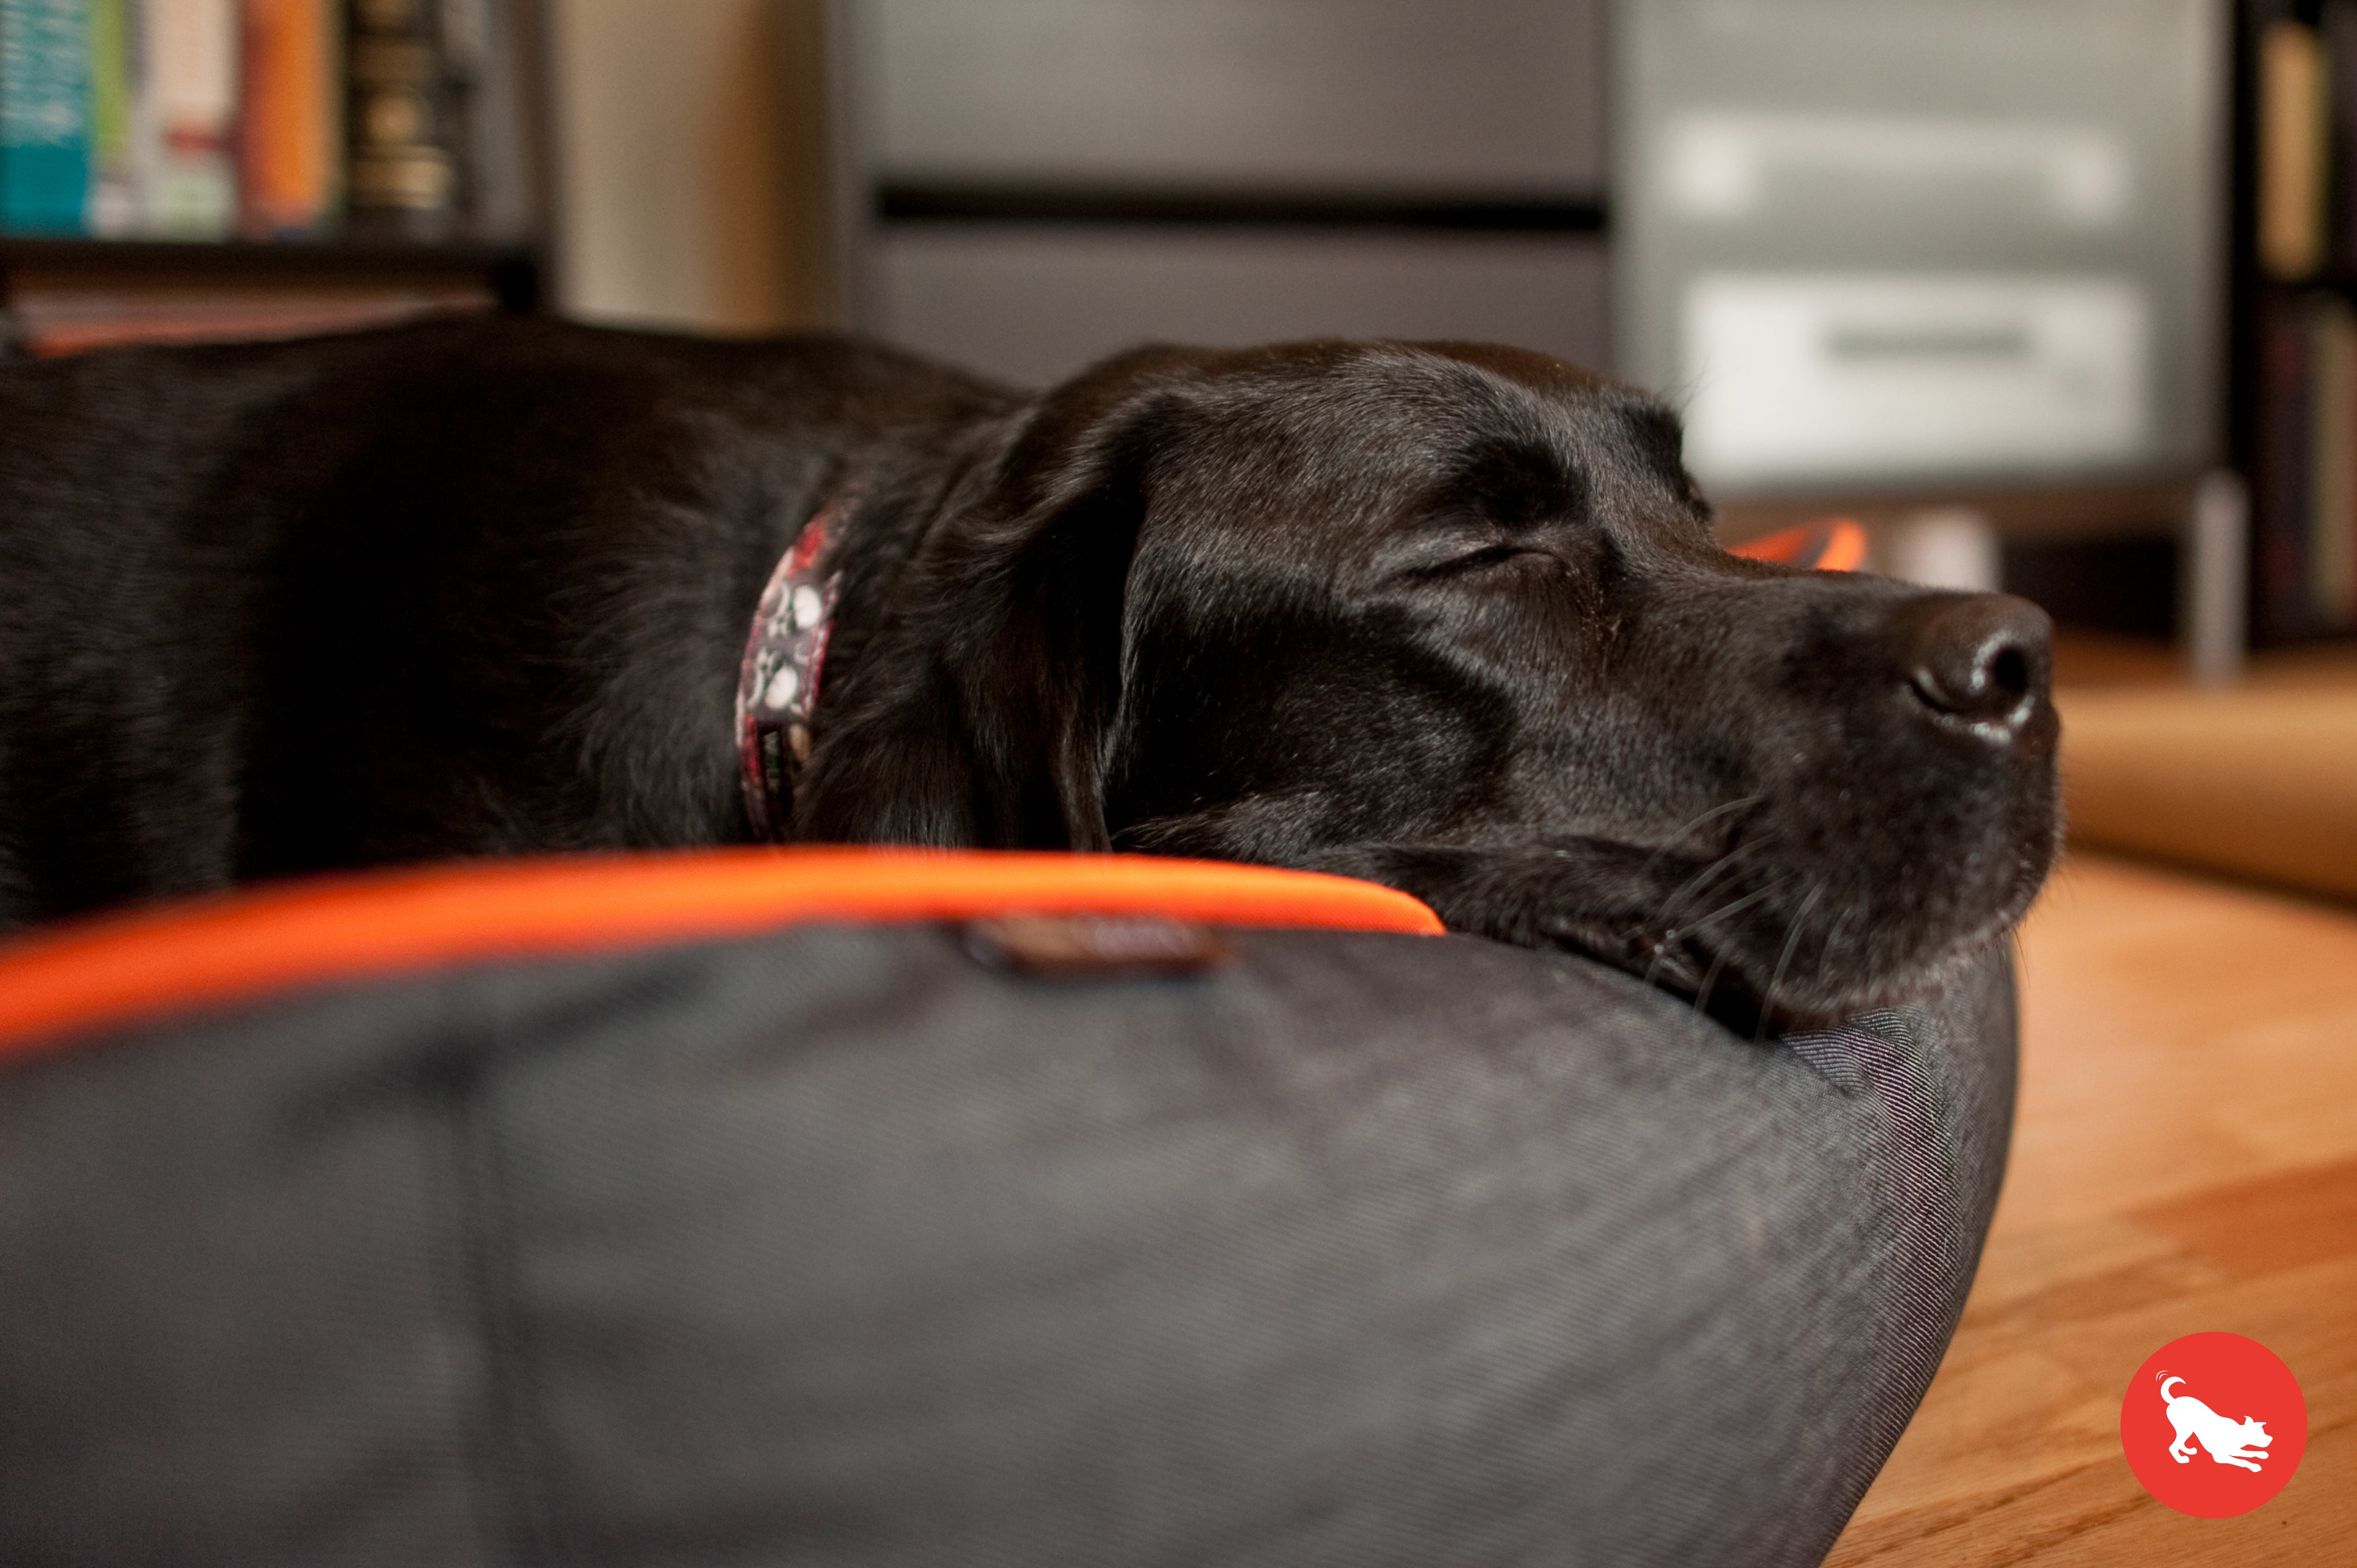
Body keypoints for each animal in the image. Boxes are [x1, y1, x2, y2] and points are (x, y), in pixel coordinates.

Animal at [2160, 1376, 2273, 1472]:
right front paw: (2254, 1466)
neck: (2237, 1435)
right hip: (2185, 1430)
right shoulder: (2220, 1456)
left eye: (2263, 1431)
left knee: (2181, 1443)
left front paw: (2262, 1454)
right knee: (2173, 1446)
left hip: (2188, 1431)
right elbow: (2243, 1461)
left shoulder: (2235, 1450)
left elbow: (2250, 1453)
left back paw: (2189, 1451)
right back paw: (2181, 1459)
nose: (2271, 1439)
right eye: (2259, 1433)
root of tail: (2174, 1401)